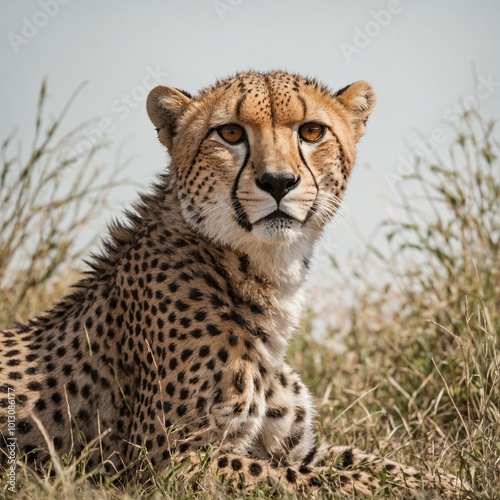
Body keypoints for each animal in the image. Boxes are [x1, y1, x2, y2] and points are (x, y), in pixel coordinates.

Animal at [0, 71, 460, 496]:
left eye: (312, 131)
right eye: (231, 132)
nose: (278, 182)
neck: (266, 275)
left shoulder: (296, 447)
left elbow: (374, 464)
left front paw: (449, 480)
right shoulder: (169, 463)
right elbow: (317, 480)